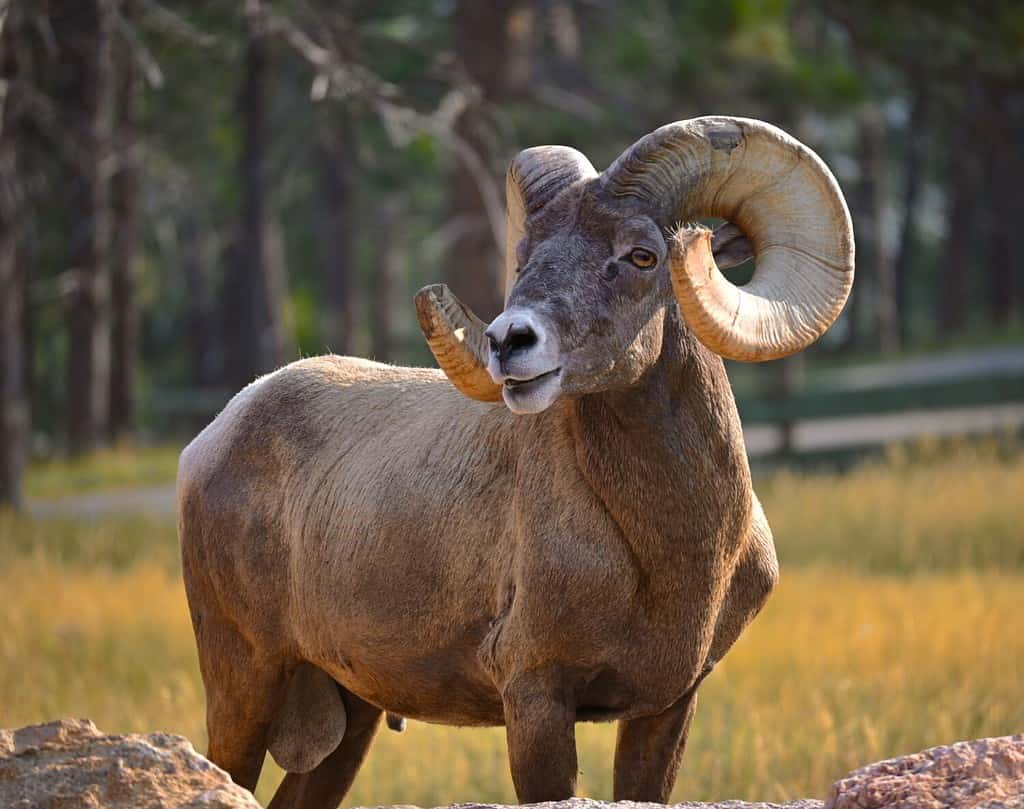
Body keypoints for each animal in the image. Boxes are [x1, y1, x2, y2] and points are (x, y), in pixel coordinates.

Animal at [177, 116, 853, 809]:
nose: (508, 341)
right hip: (243, 686)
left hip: (348, 720)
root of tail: (212, 436)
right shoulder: (536, 696)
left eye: (642, 255)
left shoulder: (666, 709)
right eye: (524, 257)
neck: (677, 554)